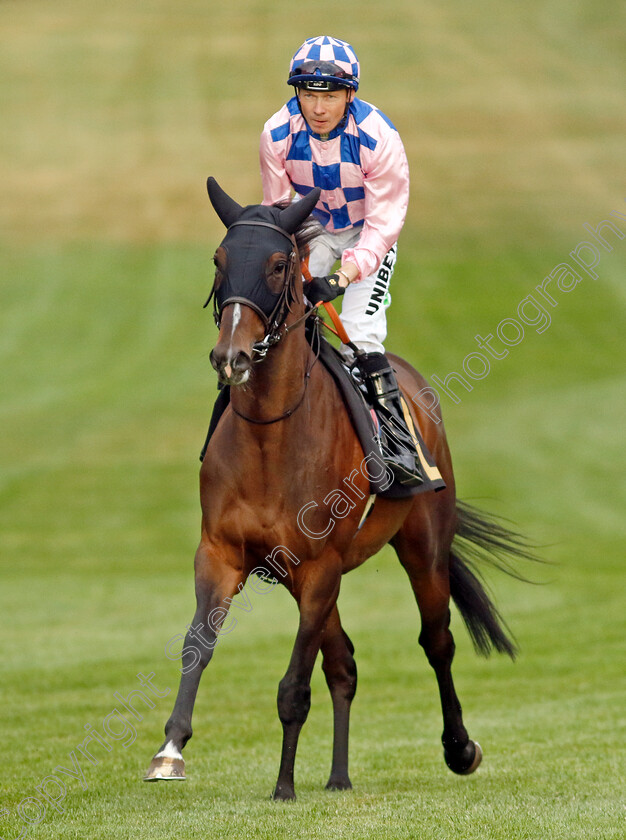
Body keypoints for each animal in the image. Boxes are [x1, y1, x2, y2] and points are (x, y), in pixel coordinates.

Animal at [145, 179, 532, 800]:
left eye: (279, 265)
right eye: (219, 261)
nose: (230, 357)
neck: (272, 436)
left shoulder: (320, 565)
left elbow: (293, 685)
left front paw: (283, 785)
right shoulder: (222, 553)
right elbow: (198, 644)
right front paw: (171, 750)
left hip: (421, 548)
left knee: (437, 641)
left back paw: (459, 747)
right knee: (344, 663)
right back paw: (339, 776)